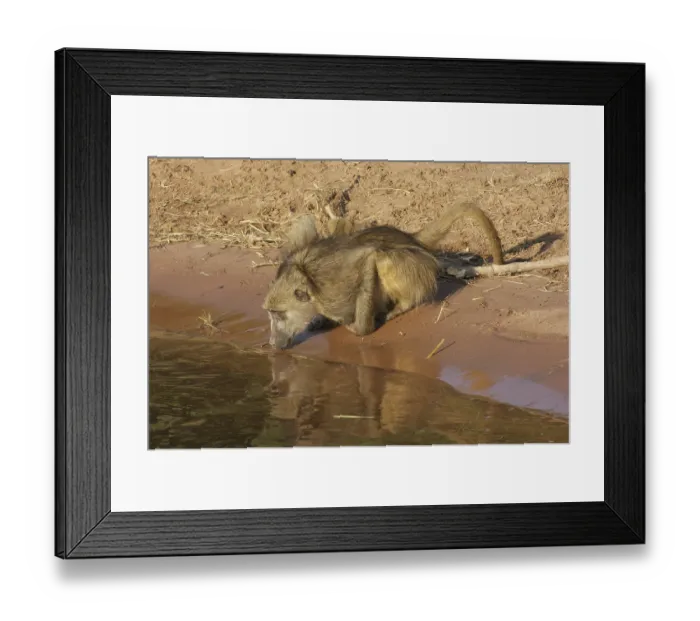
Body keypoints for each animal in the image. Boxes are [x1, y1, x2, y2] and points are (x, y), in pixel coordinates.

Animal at [262, 202, 504, 349]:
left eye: (278, 314)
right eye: (271, 314)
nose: (272, 343)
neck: (307, 278)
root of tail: (409, 237)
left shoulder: (333, 292)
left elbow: (369, 258)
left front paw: (360, 329)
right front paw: (319, 321)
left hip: (412, 264)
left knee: (383, 258)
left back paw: (399, 307)